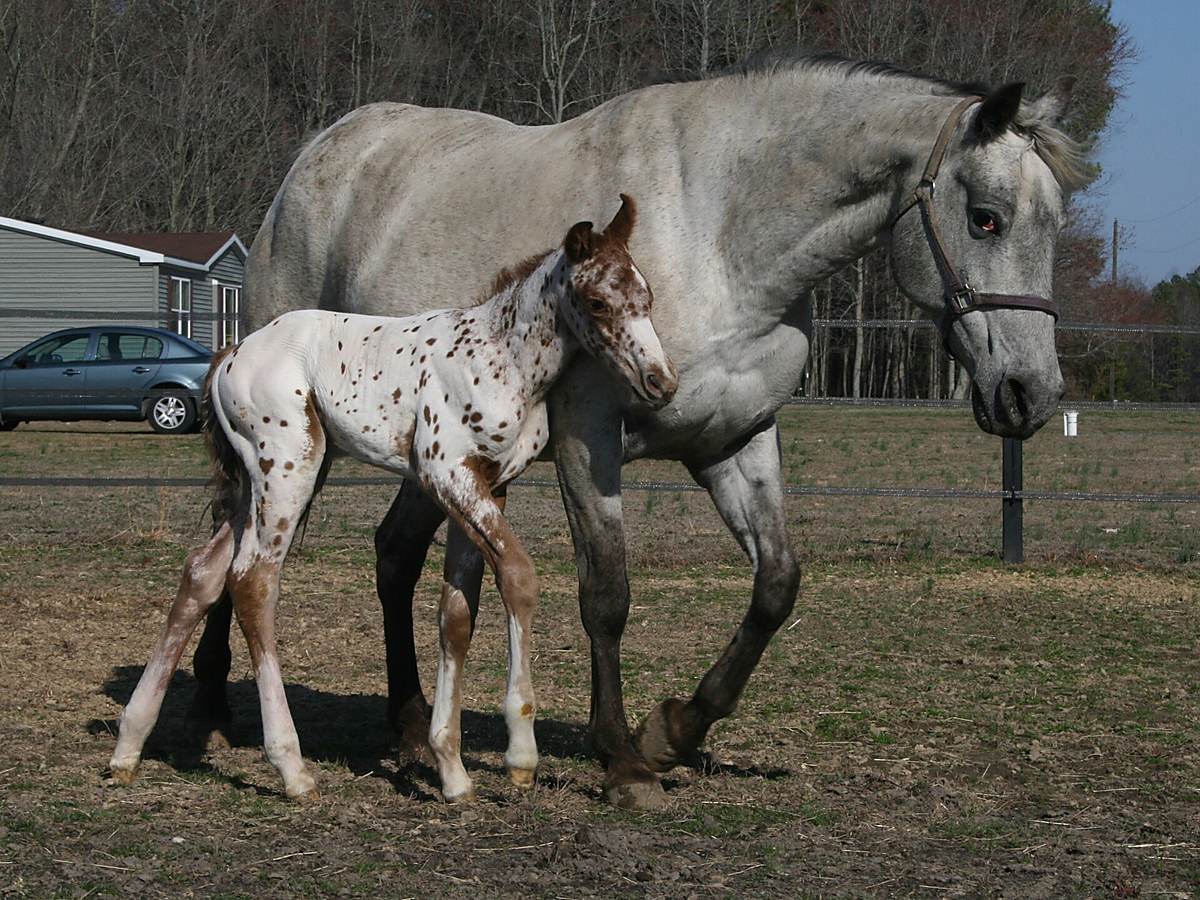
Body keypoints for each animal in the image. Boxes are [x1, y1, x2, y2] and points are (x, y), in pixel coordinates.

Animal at [108, 196, 677, 801]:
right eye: (597, 302)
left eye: (647, 297)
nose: (661, 382)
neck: (500, 356)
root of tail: (231, 353)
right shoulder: (447, 473)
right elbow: (520, 577)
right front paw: (520, 754)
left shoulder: (490, 485)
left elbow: (457, 614)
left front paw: (452, 771)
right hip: (288, 468)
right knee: (254, 581)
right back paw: (292, 767)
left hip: (253, 485)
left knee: (203, 572)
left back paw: (129, 746)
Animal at [188, 52, 1084, 808]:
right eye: (987, 218)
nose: (1031, 394)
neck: (719, 234)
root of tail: (322, 154)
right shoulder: (591, 441)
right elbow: (607, 596)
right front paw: (622, 759)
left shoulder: (736, 440)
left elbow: (776, 585)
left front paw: (674, 729)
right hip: (287, 450)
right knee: (232, 546)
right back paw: (211, 706)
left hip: (424, 456)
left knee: (391, 555)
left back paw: (409, 729)